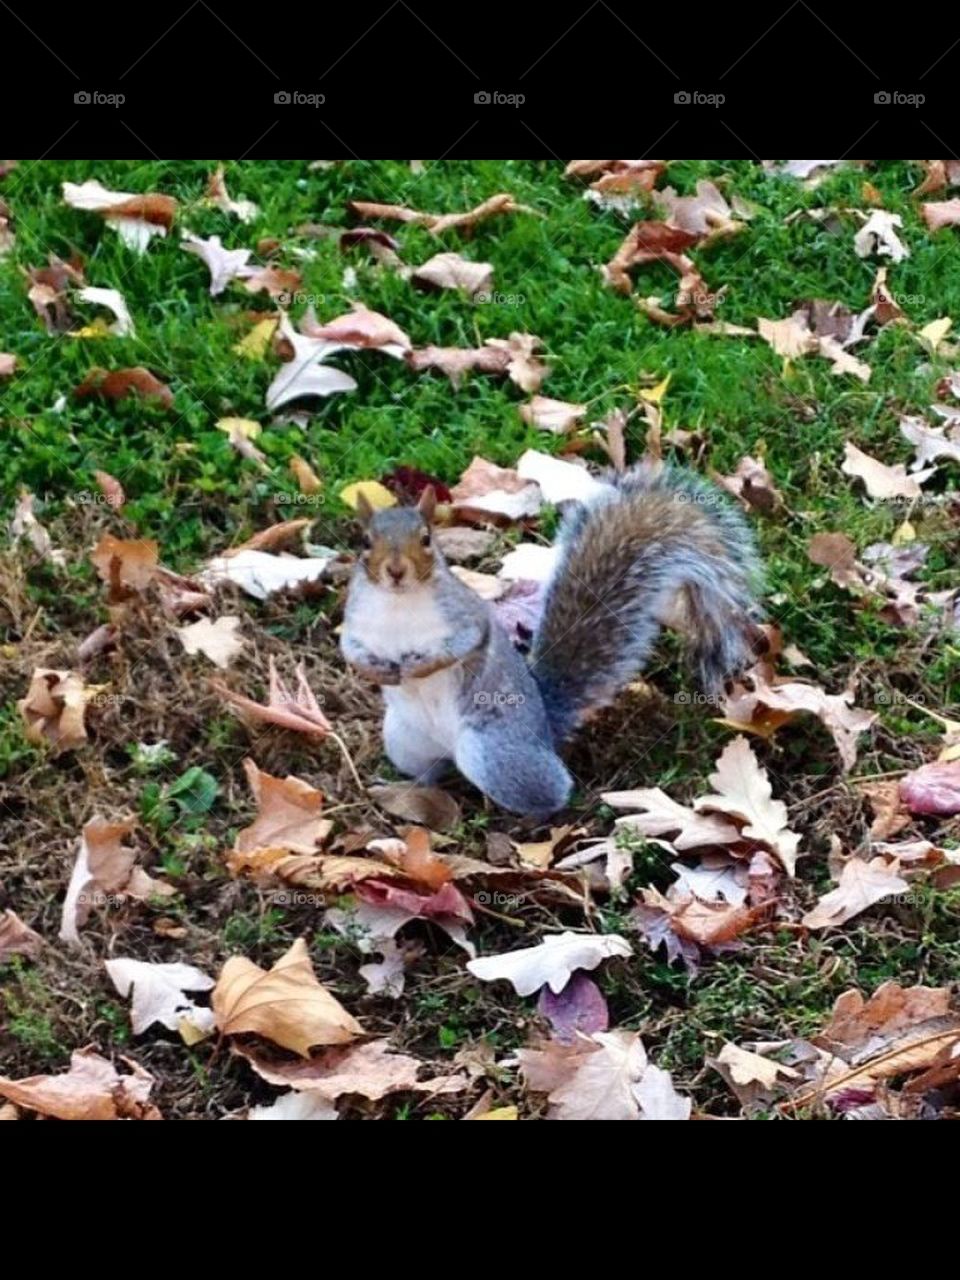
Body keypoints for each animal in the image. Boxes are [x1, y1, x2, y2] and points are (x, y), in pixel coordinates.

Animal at [340, 462, 762, 821]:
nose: (396, 571)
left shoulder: (467, 617)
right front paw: (375, 671)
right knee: (432, 770)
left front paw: (419, 666)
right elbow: (350, 650)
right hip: (404, 741)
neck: (399, 603)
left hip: (493, 754)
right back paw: (406, 787)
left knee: (551, 789)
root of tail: (545, 728)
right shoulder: (355, 623)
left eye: (426, 539)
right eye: (366, 542)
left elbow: (461, 646)